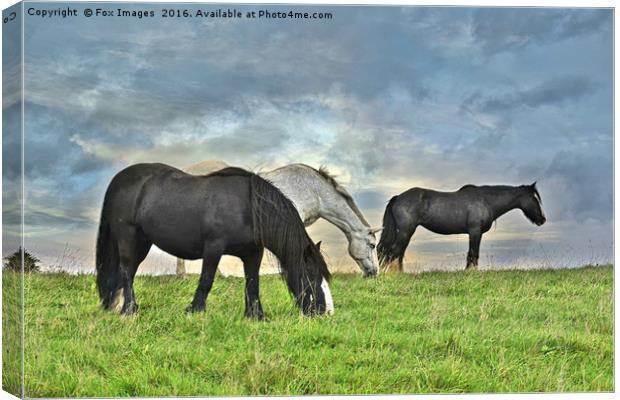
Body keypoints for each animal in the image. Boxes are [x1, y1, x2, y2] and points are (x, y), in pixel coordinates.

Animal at [95, 162, 332, 318]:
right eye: (311, 274)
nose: (326, 311)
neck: (249, 208)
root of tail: (119, 180)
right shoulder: (213, 248)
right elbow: (206, 280)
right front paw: (195, 310)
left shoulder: (253, 253)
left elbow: (252, 283)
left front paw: (255, 316)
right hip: (128, 236)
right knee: (126, 271)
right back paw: (129, 310)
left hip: (143, 242)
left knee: (129, 272)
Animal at [378, 184, 548, 272]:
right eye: (534, 199)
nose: (542, 219)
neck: (486, 200)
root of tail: (398, 198)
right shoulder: (475, 232)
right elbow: (473, 254)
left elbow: (472, 254)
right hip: (406, 231)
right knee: (393, 252)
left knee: (397, 253)